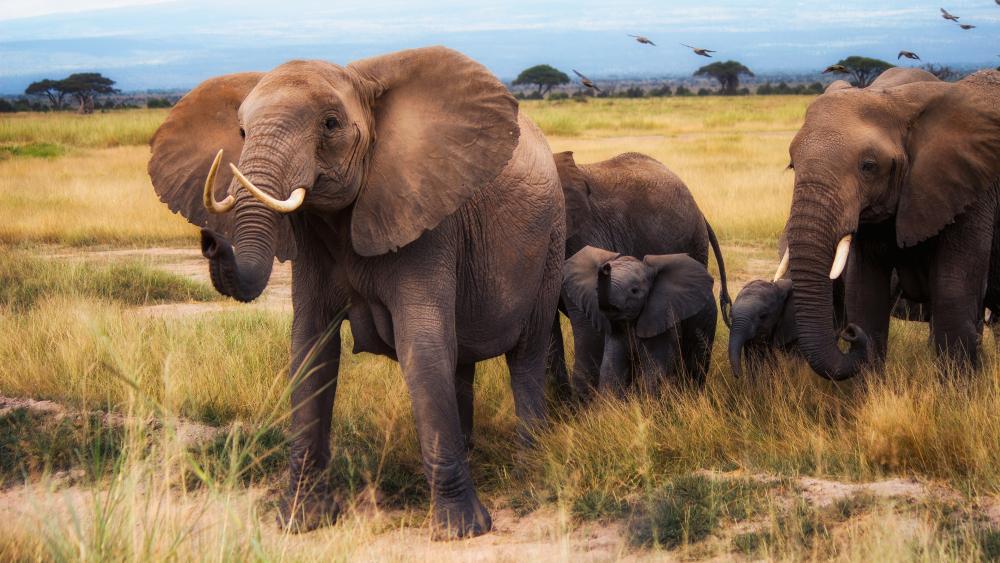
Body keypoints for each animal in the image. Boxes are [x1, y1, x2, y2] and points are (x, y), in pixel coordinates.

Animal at [147, 47, 565, 539]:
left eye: (330, 124)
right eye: (242, 132)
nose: (211, 239)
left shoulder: (426, 217)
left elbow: (421, 347)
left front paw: (461, 531)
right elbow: (311, 351)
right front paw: (299, 521)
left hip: (550, 243)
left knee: (526, 357)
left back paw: (528, 469)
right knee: (460, 361)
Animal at [562, 246, 716, 395]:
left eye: (634, 291)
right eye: (596, 288)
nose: (605, 267)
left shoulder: (662, 318)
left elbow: (655, 371)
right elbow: (611, 368)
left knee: (695, 363)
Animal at [778, 67, 1000, 380]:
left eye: (869, 166)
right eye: (792, 165)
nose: (849, 333)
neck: (897, 97)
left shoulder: (972, 190)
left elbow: (953, 298)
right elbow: (865, 296)